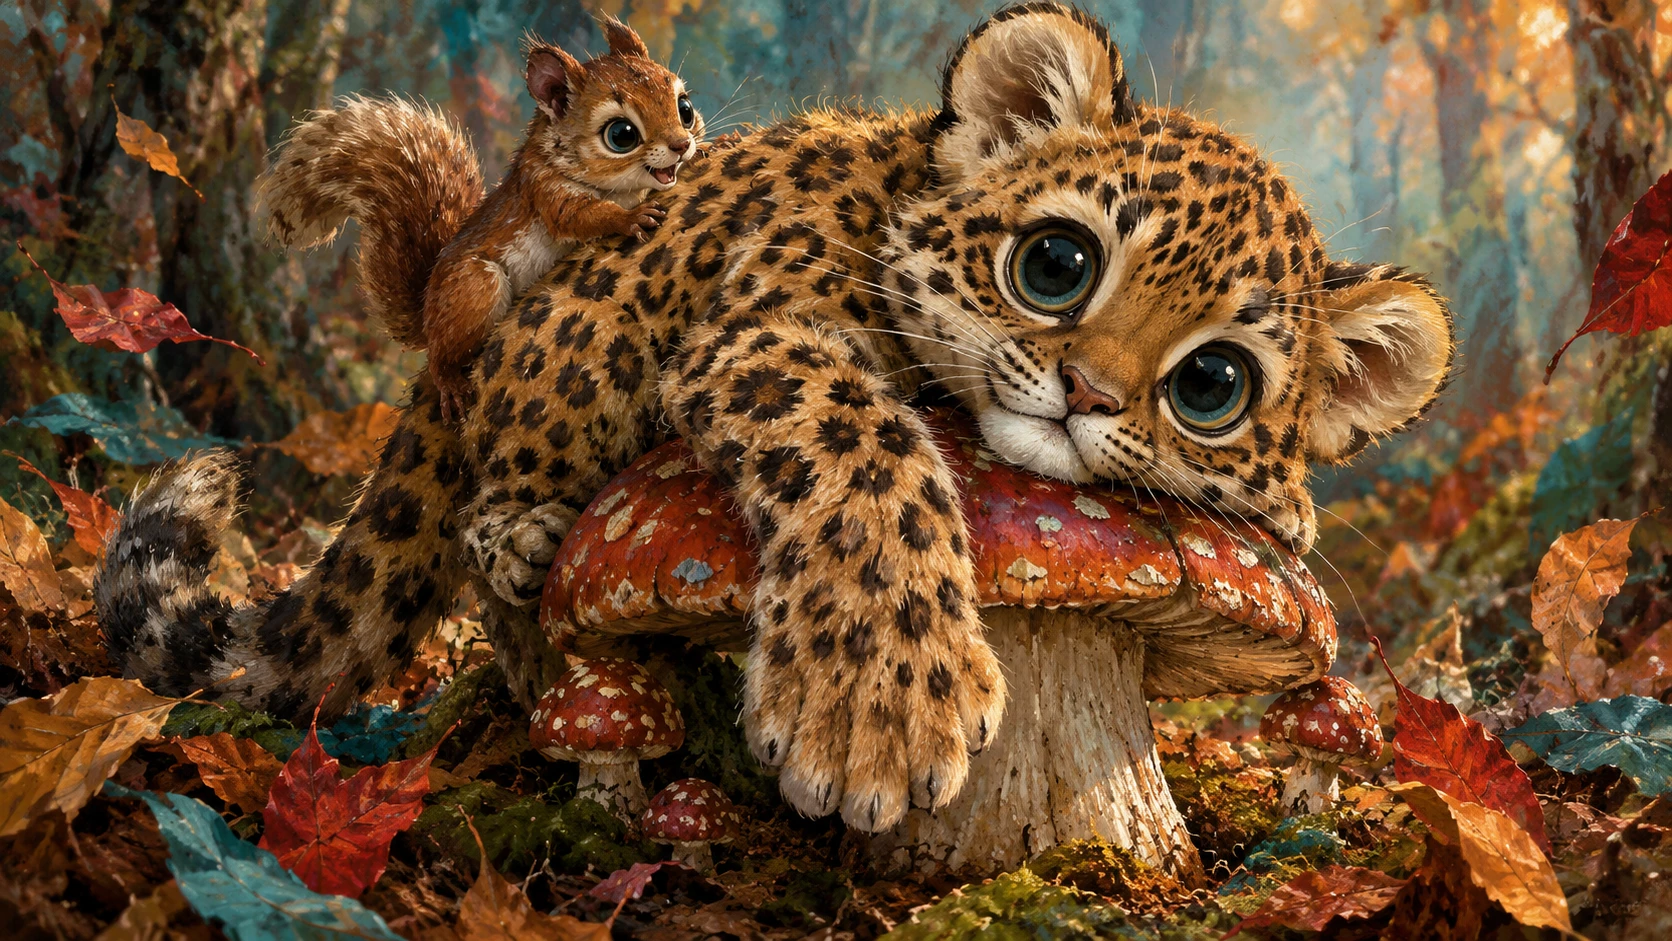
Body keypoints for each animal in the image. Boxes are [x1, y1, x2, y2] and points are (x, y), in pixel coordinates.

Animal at [97, 2, 1454, 835]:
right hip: (587, 335)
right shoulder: (762, 335)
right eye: (1056, 263)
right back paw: (530, 552)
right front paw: (873, 711)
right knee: (491, 516)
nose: (1089, 397)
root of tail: (446, 340)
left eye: (1211, 386)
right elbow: (866, 445)